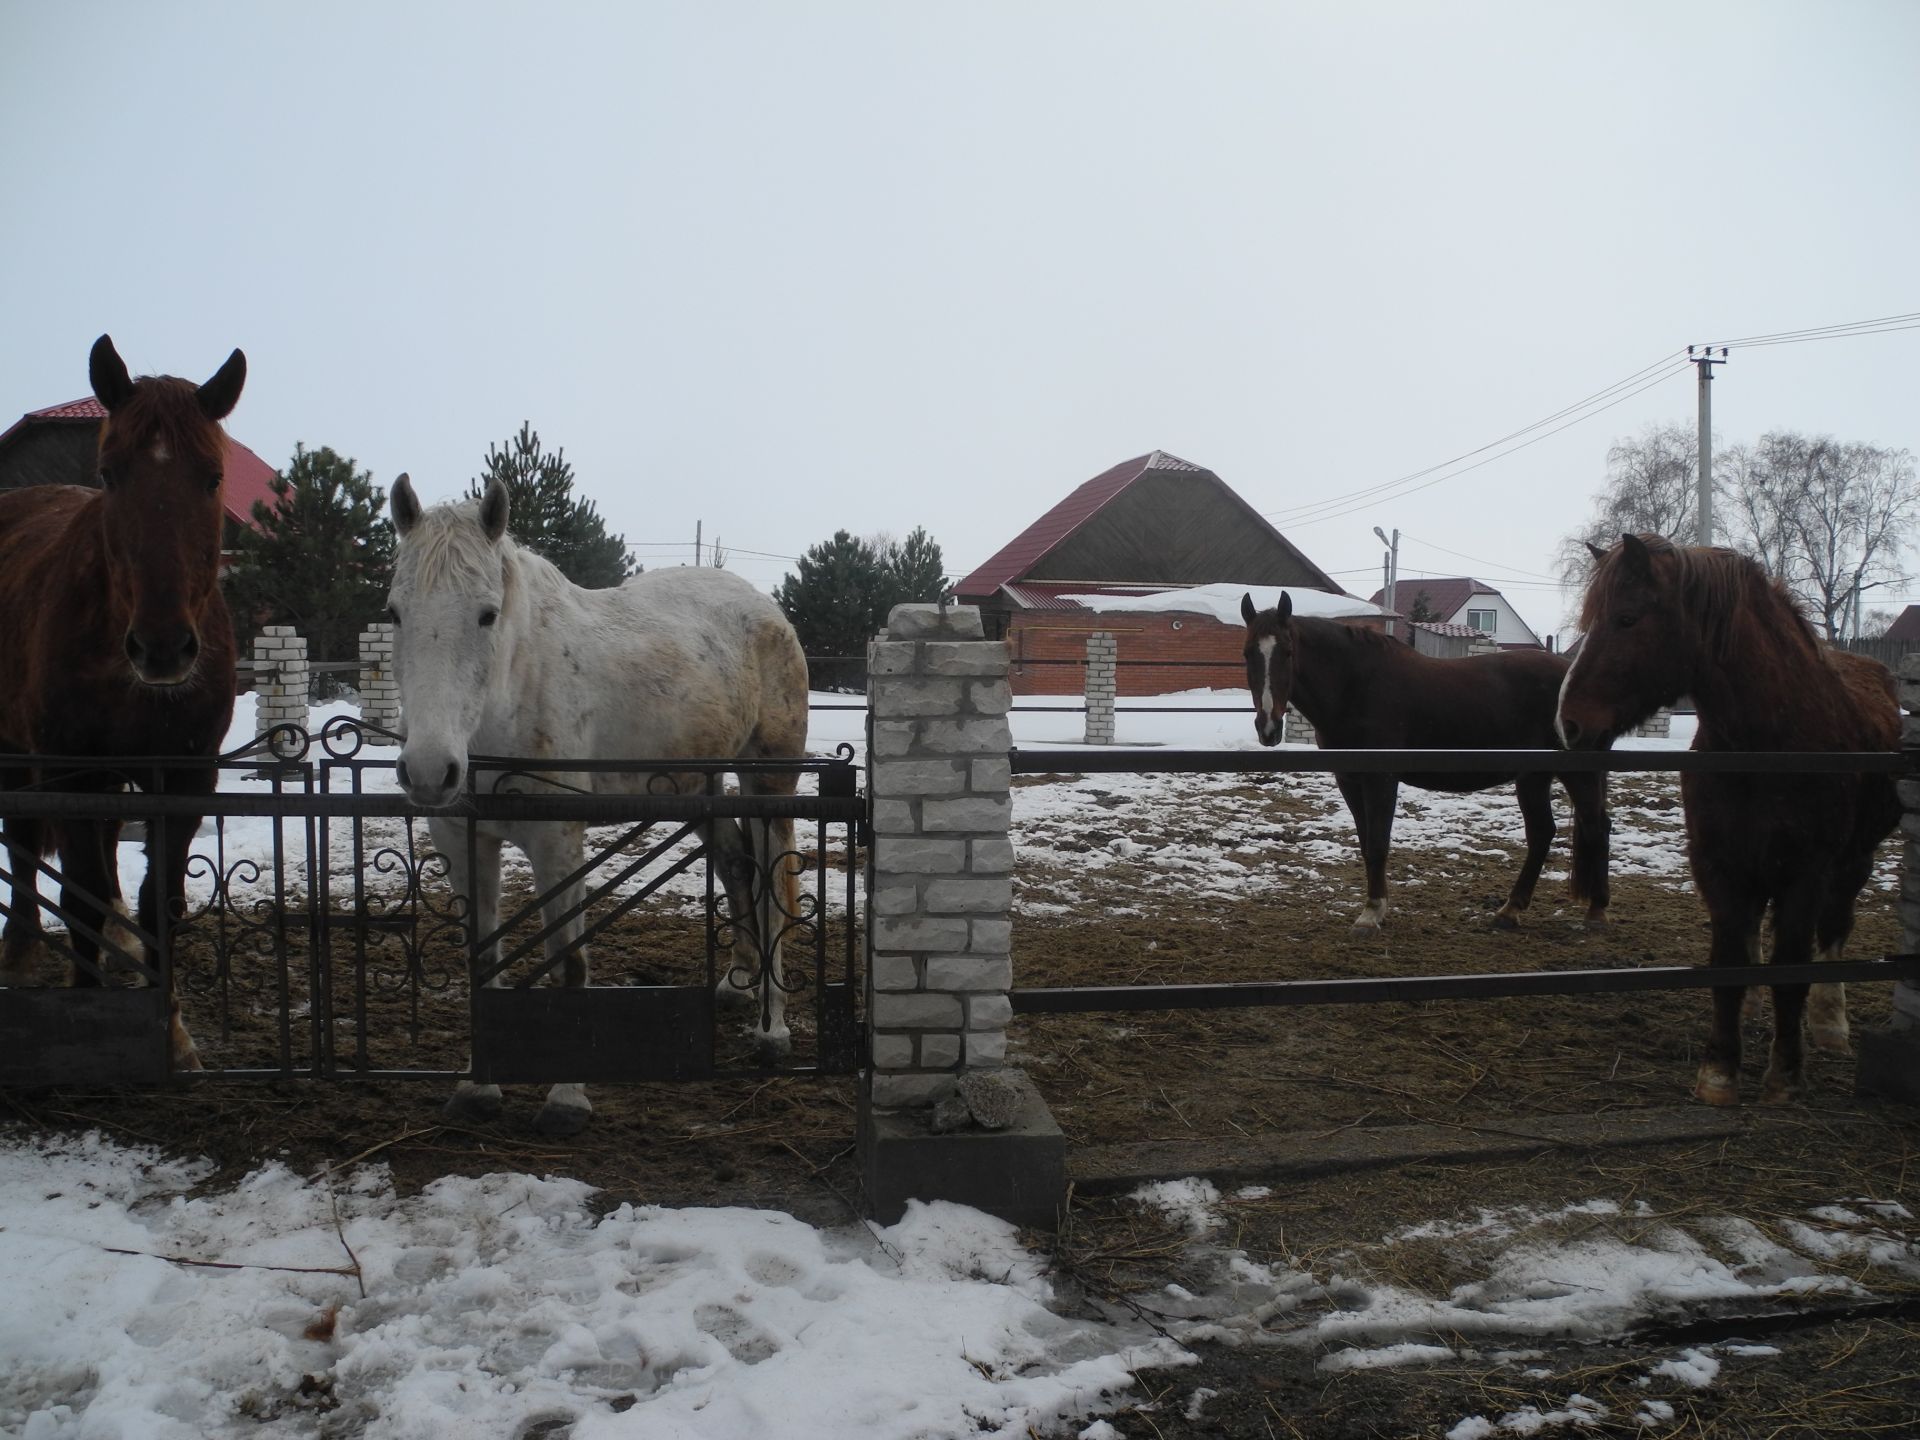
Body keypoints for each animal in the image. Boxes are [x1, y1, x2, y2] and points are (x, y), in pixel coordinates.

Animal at [0, 332, 247, 1067]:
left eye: (212, 478)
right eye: (110, 474)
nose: (163, 648)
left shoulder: (186, 777)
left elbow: (159, 898)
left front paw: (171, 1029)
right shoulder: (71, 771)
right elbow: (77, 893)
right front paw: (87, 1010)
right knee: (24, 844)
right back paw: (21, 947)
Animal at [389, 481, 810, 1136]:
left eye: (487, 614)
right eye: (395, 612)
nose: (431, 770)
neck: (512, 690)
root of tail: (767, 612)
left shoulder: (556, 841)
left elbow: (567, 961)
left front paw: (566, 1099)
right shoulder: (462, 838)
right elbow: (481, 960)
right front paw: (478, 1087)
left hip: (769, 788)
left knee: (770, 889)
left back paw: (772, 1030)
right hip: (701, 787)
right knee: (737, 868)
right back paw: (737, 983)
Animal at [1236, 587, 1612, 936]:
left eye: (1287, 652)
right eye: (1247, 653)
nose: (1268, 727)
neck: (1355, 687)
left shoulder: (1380, 779)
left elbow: (1378, 843)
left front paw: (1372, 914)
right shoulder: (1349, 779)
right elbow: (1366, 843)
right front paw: (1375, 908)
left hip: (1576, 775)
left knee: (1595, 825)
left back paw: (1596, 911)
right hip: (1533, 776)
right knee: (1543, 833)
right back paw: (1510, 911)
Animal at [1559, 537, 1904, 1113]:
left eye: (1626, 618)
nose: (1569, 723)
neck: (1768, 743)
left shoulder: (1806, 872)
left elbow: (1793, 968)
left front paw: (1785, 1076)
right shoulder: (1717, 864)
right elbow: (1730, 962)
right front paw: (1720, 1071)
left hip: (1854, 860)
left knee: (1834, 930)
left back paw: (1829, 1023)